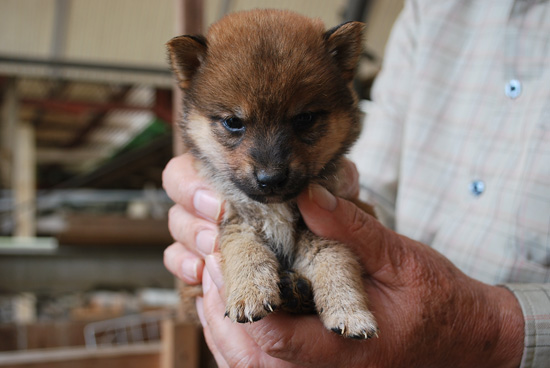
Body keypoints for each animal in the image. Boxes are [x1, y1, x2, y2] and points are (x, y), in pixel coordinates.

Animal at [166, 9, 380, 340]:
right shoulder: (235, 221)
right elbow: (246, 252)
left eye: (304, 118)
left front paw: (350, 312)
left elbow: (337, 263)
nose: (271, 178)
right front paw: (249, 292)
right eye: (233, 122)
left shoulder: (325, 229)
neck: (274, 210)